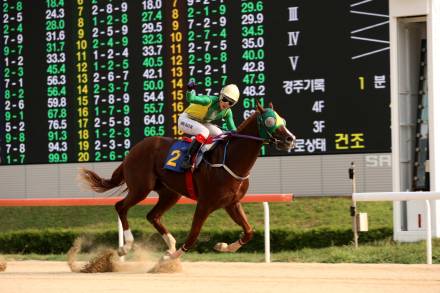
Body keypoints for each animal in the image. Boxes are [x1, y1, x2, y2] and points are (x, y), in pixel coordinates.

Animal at [81, 102, 298, 258]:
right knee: (121, 207)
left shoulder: (231, 203)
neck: (230, 160)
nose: (290, 139)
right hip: (141, 187)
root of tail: (133, 150)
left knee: (152, 216)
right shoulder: (205, 203)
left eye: (284, 120)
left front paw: (223, 246)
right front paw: (171, 258)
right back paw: (127, 246)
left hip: (170, 193)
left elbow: (249, 231)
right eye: (270, 121)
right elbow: (194, 235)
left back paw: (170, 244)